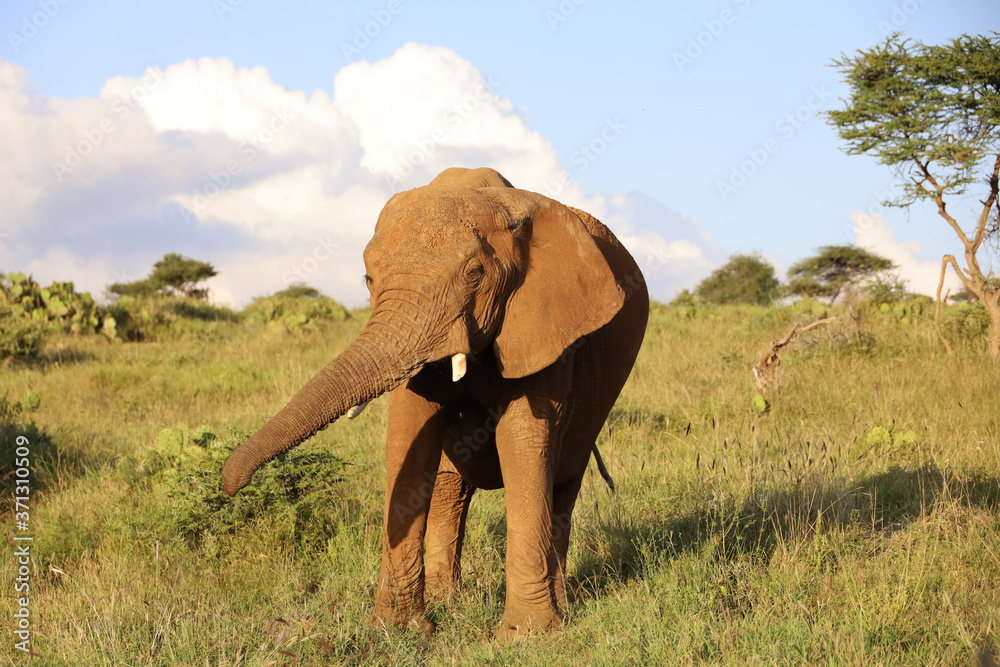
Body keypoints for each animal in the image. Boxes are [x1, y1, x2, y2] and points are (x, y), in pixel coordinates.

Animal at [221, 166, 648, 638]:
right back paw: (450, 602)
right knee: (448, 489)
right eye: (369, 280)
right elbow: (408, 441)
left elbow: (523, 443)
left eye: (475, 273)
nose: (230, 485)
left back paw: (561, 607)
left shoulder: (545, 326)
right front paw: (397, 632)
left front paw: (528, 637)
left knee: (562, 484)